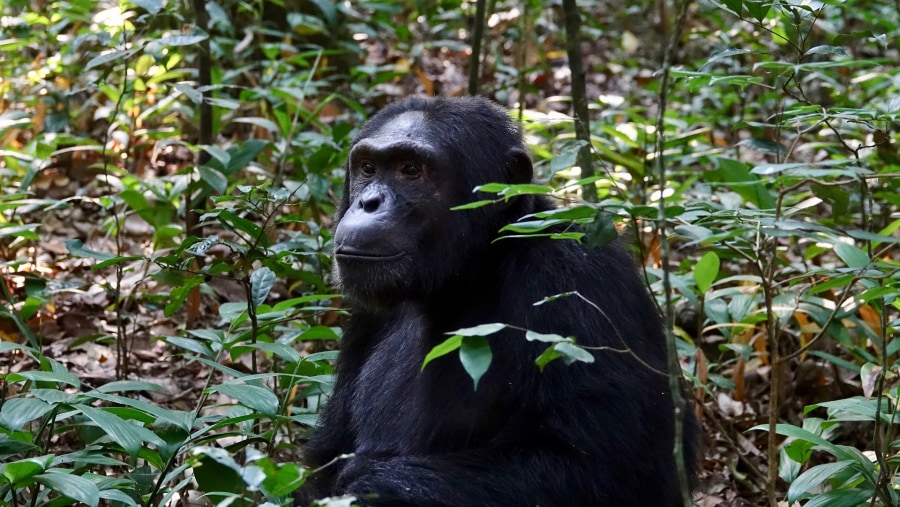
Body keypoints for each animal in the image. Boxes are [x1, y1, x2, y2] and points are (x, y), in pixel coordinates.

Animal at [298, 96, 700, 507]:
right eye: (367, 168)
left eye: (410, 170)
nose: (369, 202)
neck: (470, 270)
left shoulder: (579, 281)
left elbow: (602, 466)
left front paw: (368, 484)